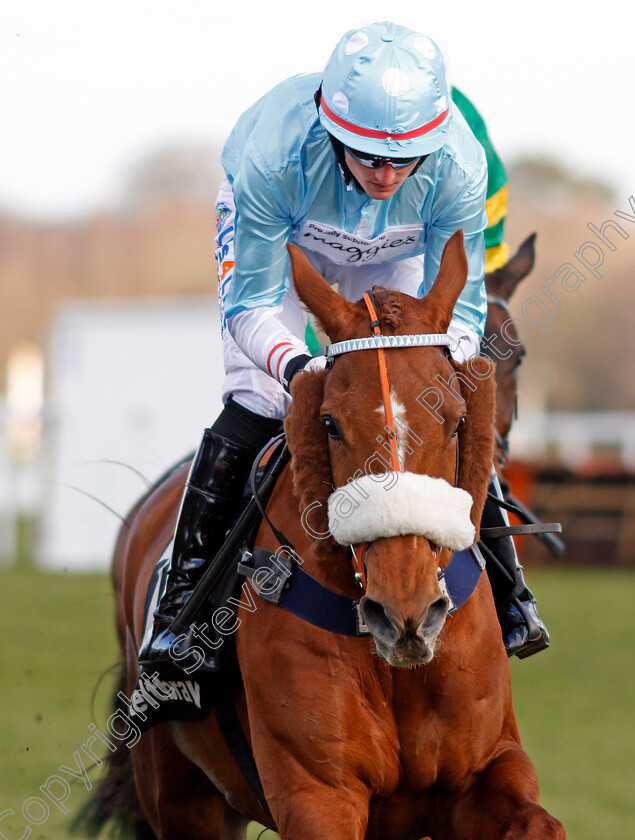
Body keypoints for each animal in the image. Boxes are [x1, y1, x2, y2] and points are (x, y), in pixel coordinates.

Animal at [82, 231, 564, 840]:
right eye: (331, 423)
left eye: (458, 418)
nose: (405, 609)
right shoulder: (316, 795)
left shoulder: (486, 770)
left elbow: (539, 823)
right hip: (178, 794)